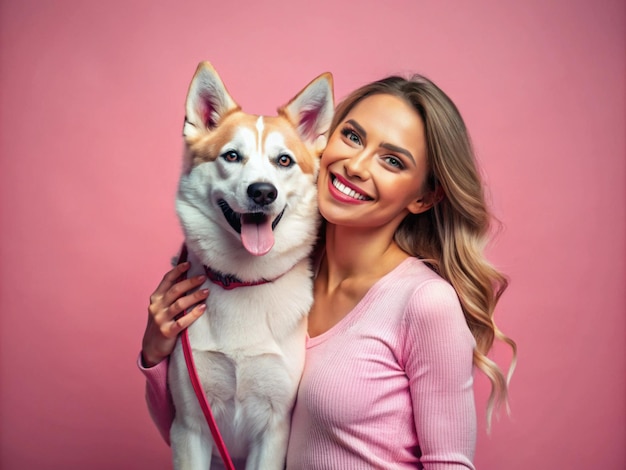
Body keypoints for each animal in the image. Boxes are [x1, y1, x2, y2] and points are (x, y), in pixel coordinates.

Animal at [166, 62, 332, 470]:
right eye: (231, 156)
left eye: (283, 160)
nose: (262, 192)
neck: (243, 281)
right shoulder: (190, 425)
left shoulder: (274, 430)